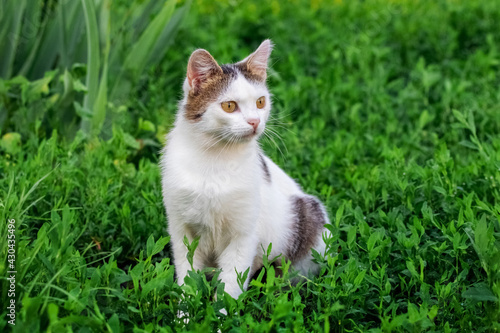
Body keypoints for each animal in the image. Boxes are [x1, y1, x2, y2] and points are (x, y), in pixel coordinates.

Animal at [160, 39, 330, 298]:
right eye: (229, 106)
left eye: (260, 102)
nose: (255, 121)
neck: (215, 159)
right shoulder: (181, 229)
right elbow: (187, 275)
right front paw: (186, 308)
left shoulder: (244, 234)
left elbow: (231, 283)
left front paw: (222, 310)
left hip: (311, 216)